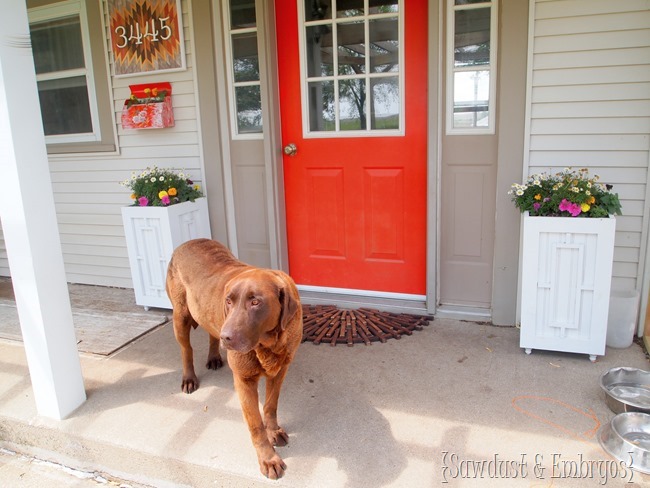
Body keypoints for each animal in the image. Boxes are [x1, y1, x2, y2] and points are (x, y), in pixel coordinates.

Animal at [165, 238, 302, 478]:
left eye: (255, 302)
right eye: (228, 301)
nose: (226, 337)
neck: (269, 344)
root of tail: (187, 242)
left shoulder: (281, 369)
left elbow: (271, 405)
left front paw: (274, 431)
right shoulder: (244, 379)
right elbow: (255, 425)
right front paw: (268, 459)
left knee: (210, 331)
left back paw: (214, 356)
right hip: (180, 315)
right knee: (186, 349)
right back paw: (189, 378)